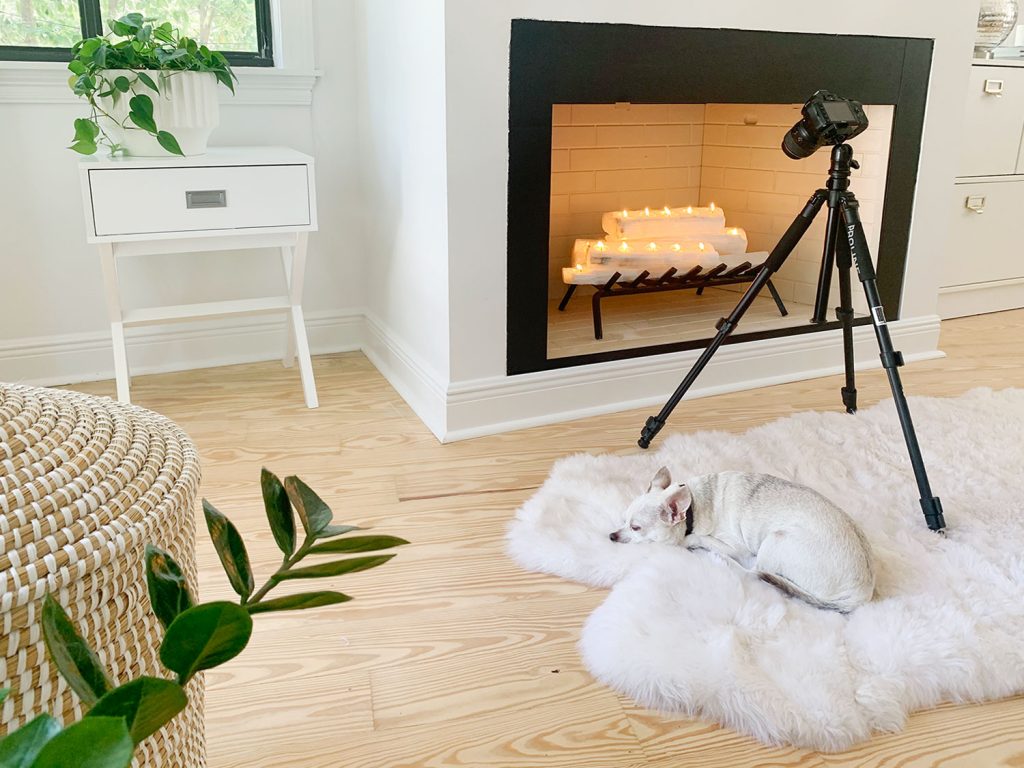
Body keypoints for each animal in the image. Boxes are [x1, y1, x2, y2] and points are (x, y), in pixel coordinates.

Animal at [610, 468, 876, 614]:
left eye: (636, 528)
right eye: (623, 520)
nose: (612, 536)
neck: (694, 504)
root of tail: (862, 592)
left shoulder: (733, 546)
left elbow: (697, 537)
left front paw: (688, 542)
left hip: (775, 540)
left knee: (754, 572)